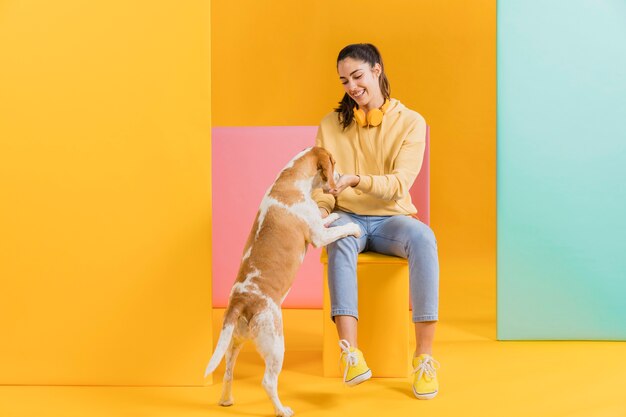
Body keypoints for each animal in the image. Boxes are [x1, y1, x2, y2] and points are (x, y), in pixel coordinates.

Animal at [205, 145, 360, 414]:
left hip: (234, 341)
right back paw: (282, 410)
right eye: (333, 161)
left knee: (228, 371)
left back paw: (226, 400)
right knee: (268, 382)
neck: (290, 180)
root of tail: (240, 301)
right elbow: (341, 229)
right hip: (276, 343)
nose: (341, 175)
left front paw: (331, 217)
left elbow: (326, 220)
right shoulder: (319, 237)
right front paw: (353, 228)